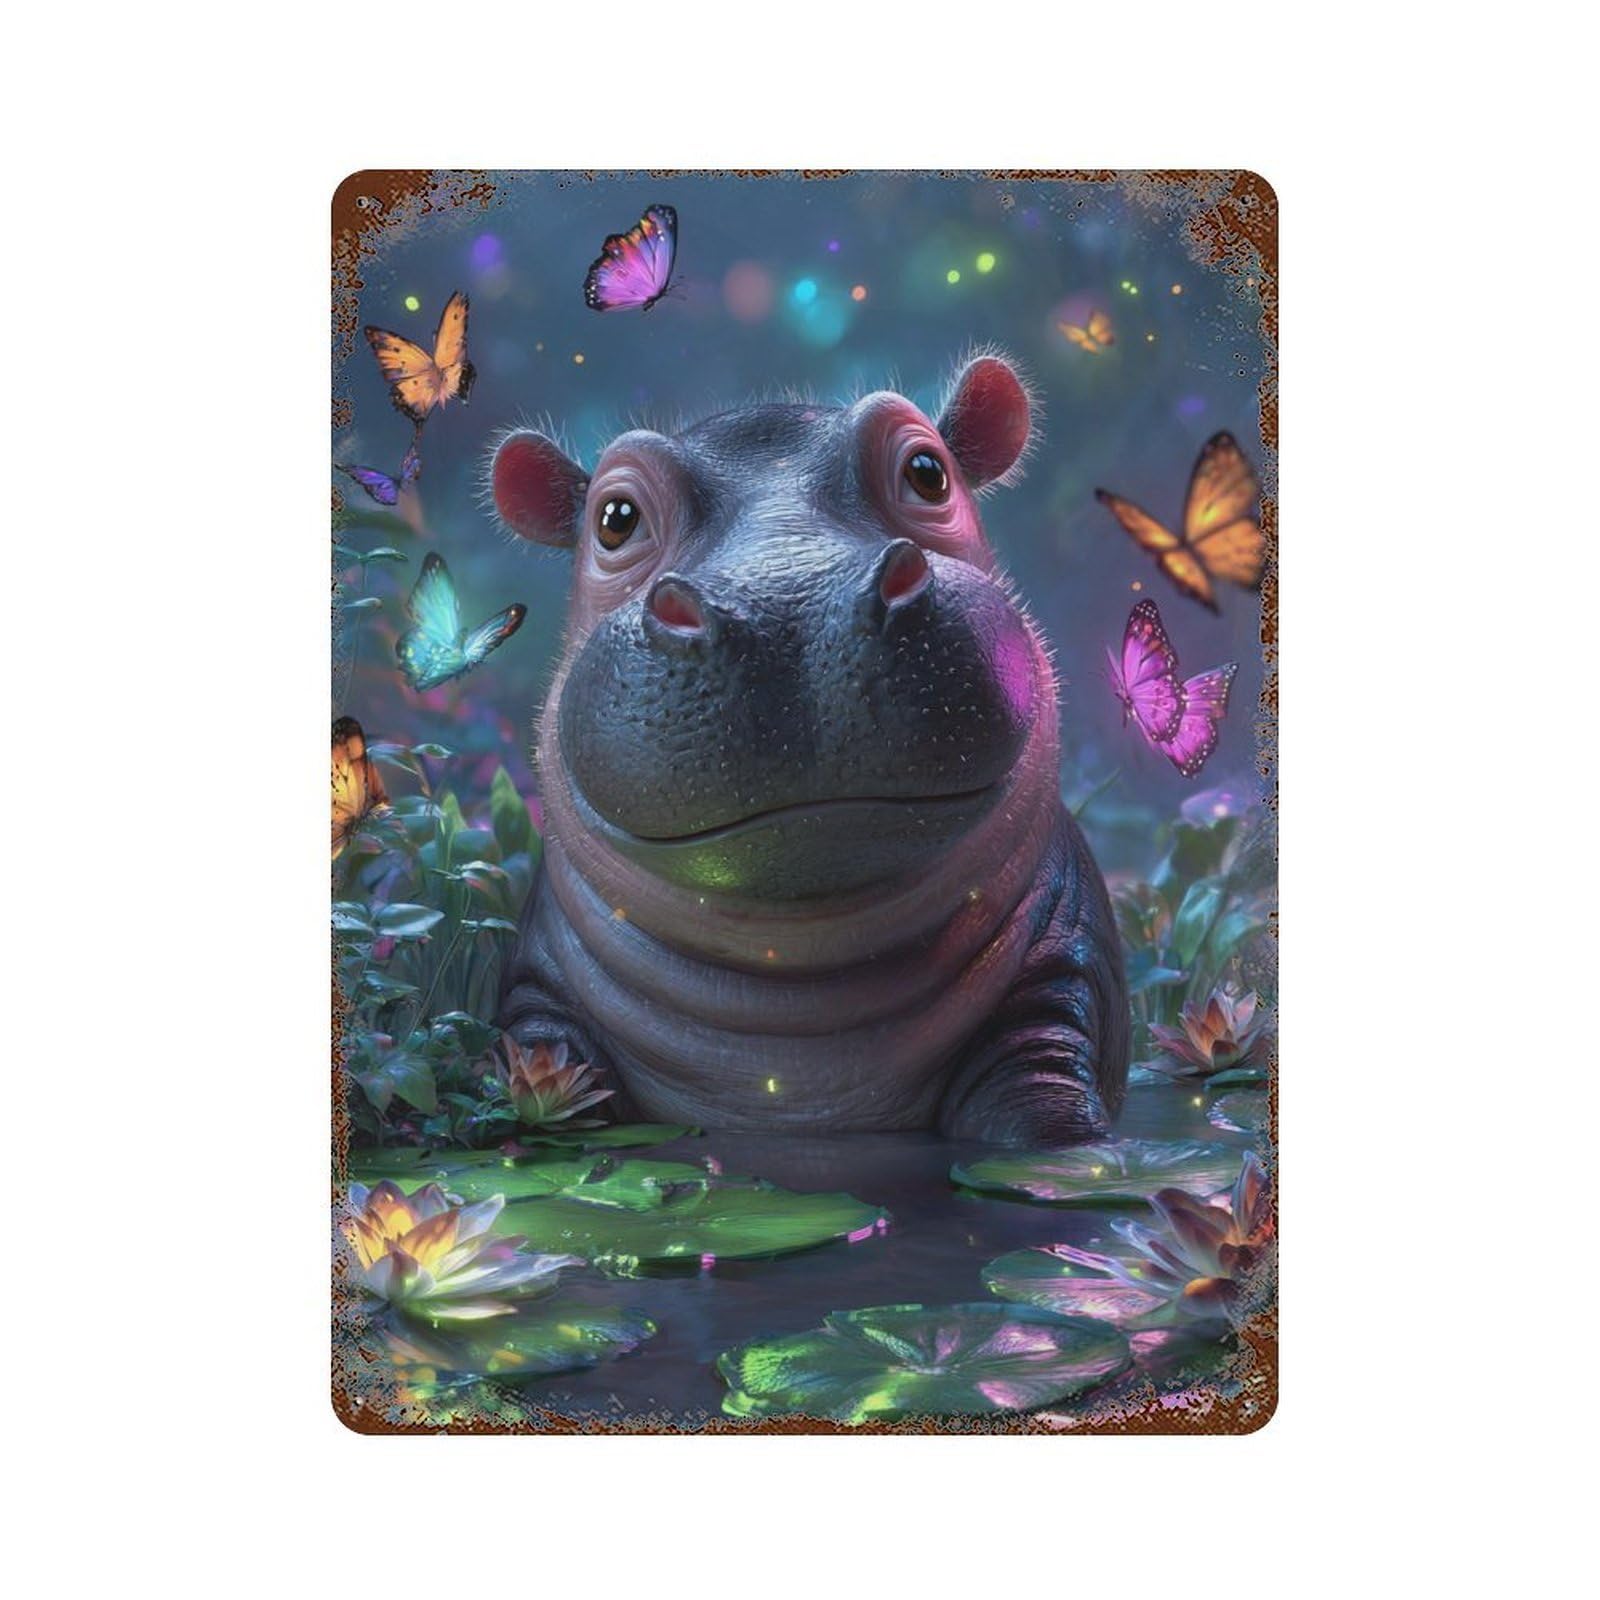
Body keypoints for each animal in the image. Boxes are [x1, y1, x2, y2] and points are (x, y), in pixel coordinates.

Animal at [487, 353, 1128, 1146]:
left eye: (927, 471)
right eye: (615, 518)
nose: (789, 603)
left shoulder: (1058, 982)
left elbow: (1040, 1096)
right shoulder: (537, 1003)